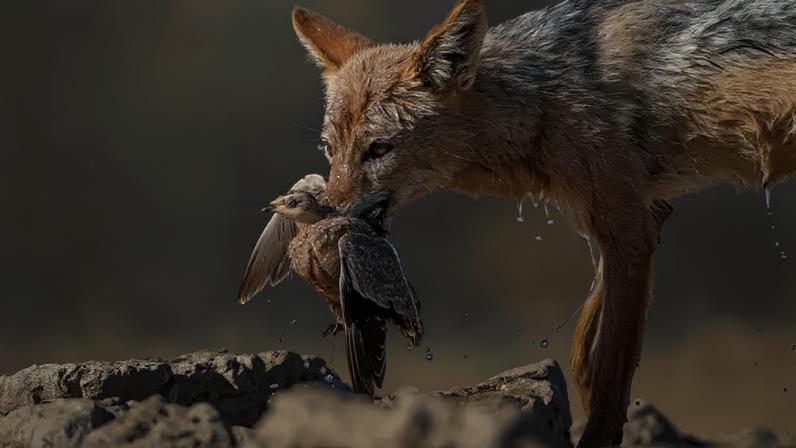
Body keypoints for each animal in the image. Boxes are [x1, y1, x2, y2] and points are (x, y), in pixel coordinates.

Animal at [288, 0, 796, 446]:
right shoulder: (631, 220)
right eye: (330, 149)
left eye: (379, 149)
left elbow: (610, 371)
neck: (541, 99)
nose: (326, 214)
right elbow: (586, 350)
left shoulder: (630, 228)